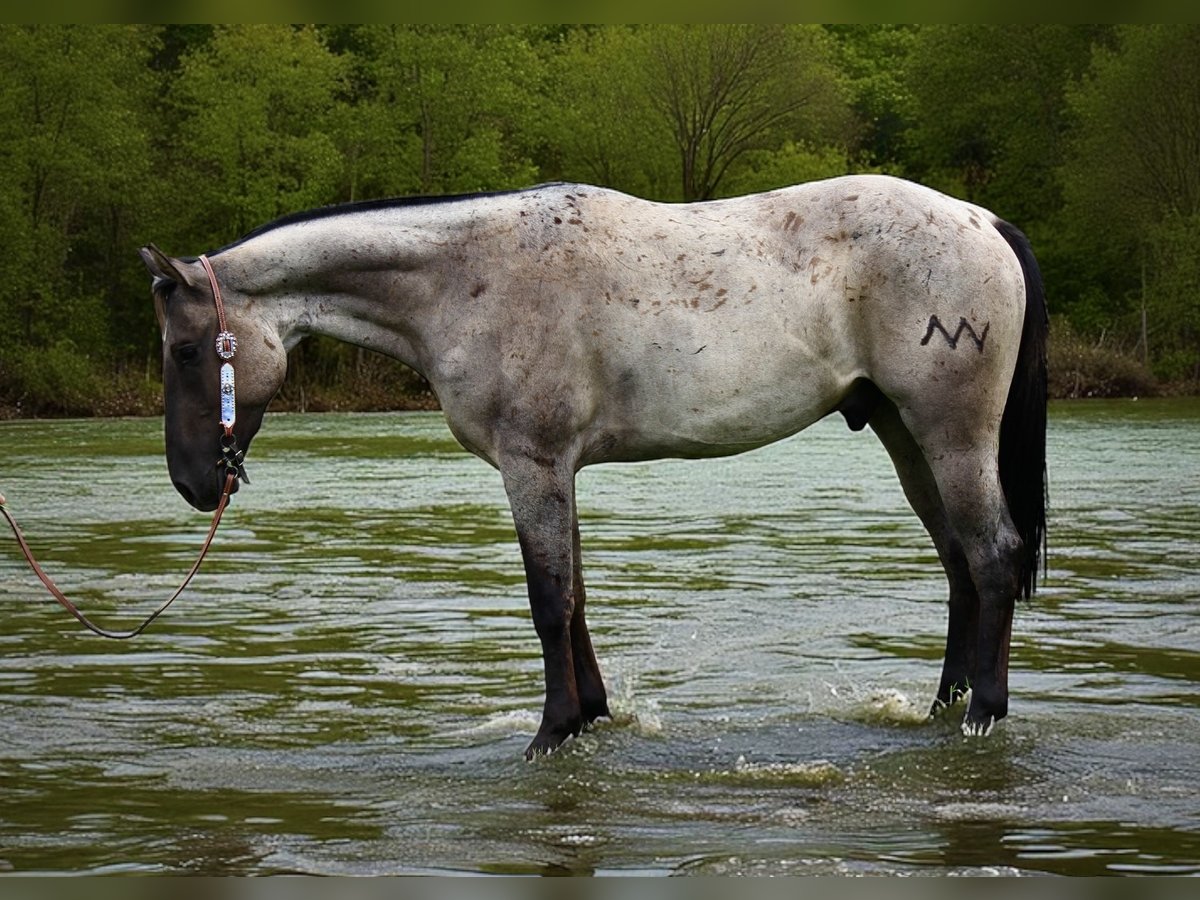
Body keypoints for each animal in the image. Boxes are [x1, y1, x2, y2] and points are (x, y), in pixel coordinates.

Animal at [139, 174, 1047, 759]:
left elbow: (549, 602)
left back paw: (983, 716)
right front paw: (590, 717)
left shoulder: (531, 464)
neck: (465, 278)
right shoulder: (555, 470)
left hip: (950, 435)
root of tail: (981, 221)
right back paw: (942, 708)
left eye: (185, 351)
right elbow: (573, 598)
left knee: (992, 558)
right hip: (906, 436)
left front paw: (551, 734)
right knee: (960, 566)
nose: (191, 481)